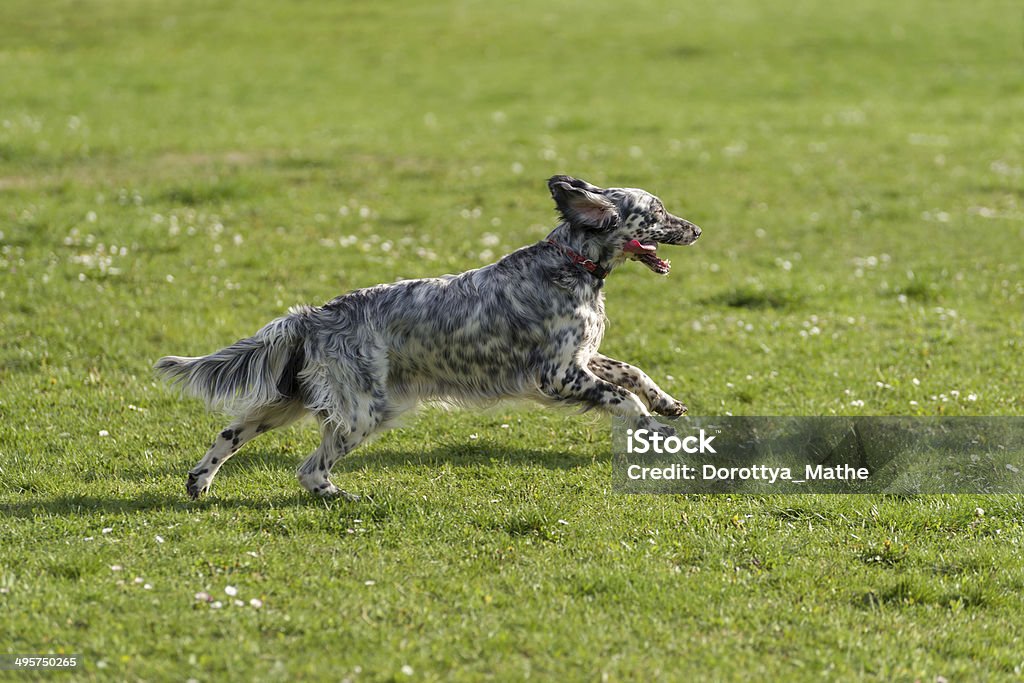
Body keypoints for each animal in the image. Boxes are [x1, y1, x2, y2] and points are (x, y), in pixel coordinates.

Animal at [157, 174, 704, 499]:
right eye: (657, 212)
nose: (697, 229)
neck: (570, 263)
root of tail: (315, 316)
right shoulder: (557, 374)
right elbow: (622, 398)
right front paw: (656, 428)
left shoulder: (583, 357)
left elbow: (632, 372)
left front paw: (667, 403)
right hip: (364, 412)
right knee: (310, 468)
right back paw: (341, 496)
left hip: (290, 401)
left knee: (230, 433)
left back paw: (199, 482)